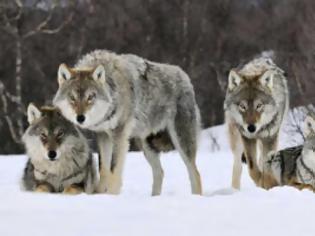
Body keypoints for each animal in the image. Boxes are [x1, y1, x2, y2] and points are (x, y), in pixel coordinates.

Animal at [53, 49, 202, 195]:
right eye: (72, 98)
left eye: (90, 97)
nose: (80, 118)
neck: (113, 92)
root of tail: (185, 76)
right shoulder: (103, 135)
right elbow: (103, 169)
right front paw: (99, 194)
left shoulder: (119, 135)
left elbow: (113, 170)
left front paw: (111, 196)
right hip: (146, 146)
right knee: (160, 172)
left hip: (181, 142)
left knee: (195, 173)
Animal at [225, 52, 288, 190]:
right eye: (242, 106)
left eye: (259, 106)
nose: (251, 128)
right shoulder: (247, 138)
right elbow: (252, 168)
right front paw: (260, 182)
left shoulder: (270, 138)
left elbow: (265, 167)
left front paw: (266, 184)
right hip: (237, 139)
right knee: (237, 165)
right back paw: (235, 189)